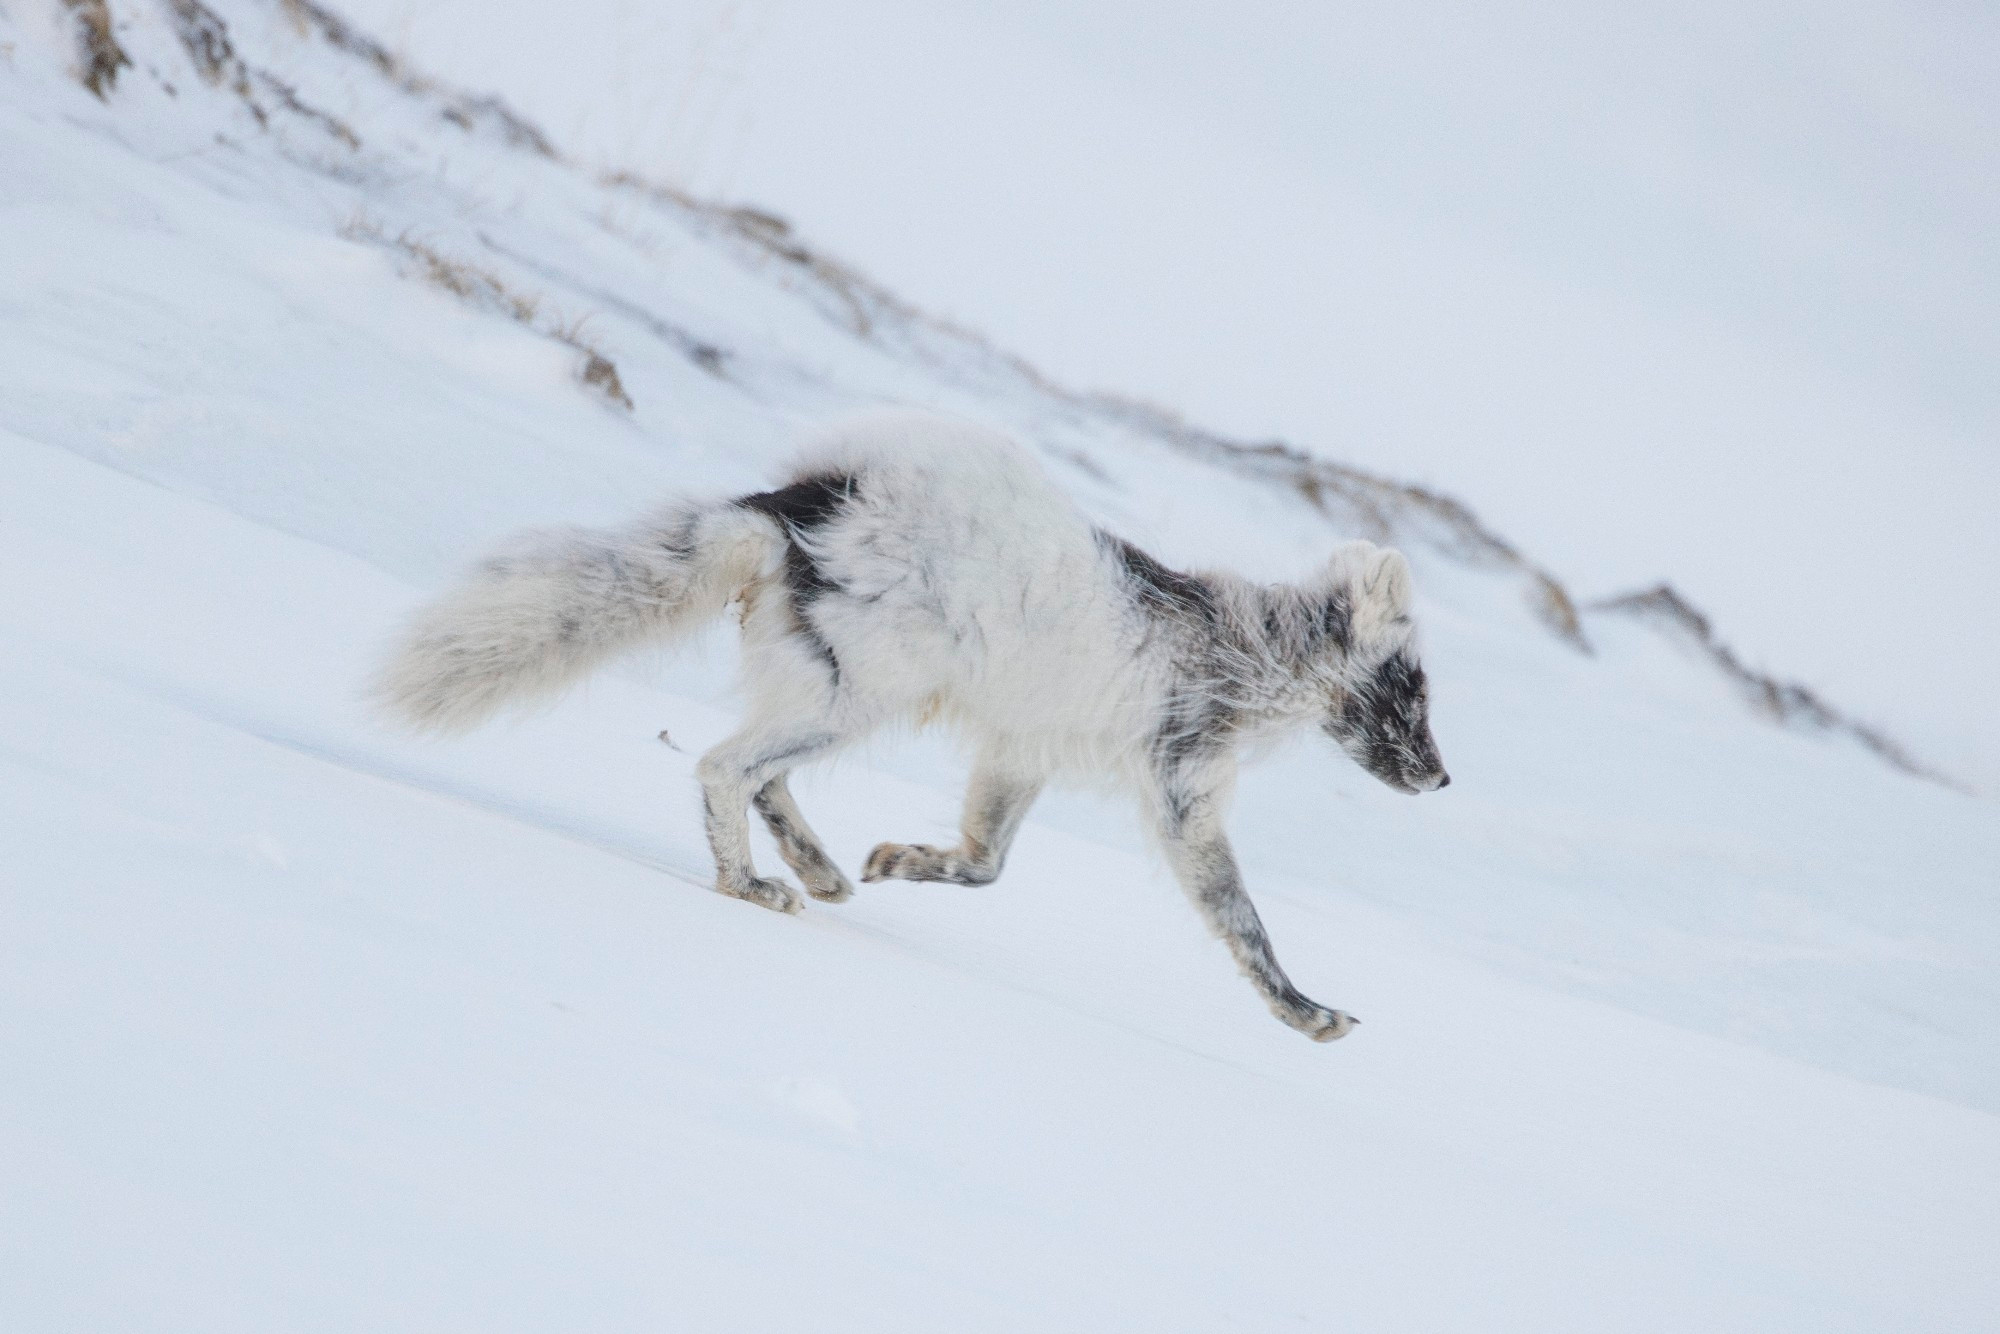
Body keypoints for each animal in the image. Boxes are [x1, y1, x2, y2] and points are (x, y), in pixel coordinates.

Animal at [376, 412, 1448, 1040]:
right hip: (860, 695)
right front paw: (1305, 1011)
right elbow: (1242, 918)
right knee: (725, 767)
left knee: (763, 775)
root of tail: (802, 500)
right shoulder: (1183, 786)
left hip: (827, 688)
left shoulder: (1020, 751)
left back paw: (818, 869)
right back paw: (749, 886)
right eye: (1412, 689)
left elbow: (985, 863)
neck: (1251, 644)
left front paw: (903, 860)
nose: (1443, 781)